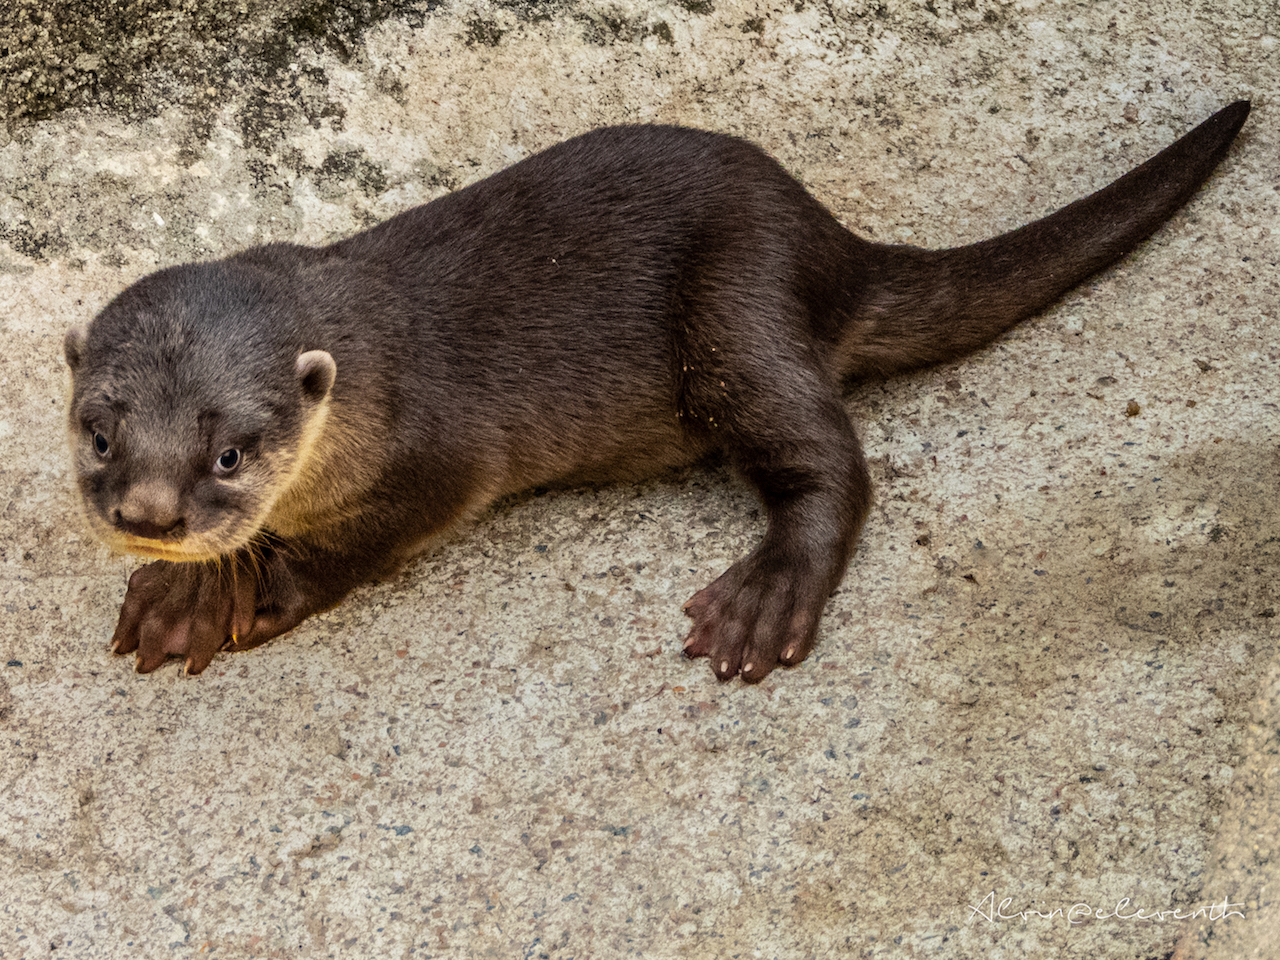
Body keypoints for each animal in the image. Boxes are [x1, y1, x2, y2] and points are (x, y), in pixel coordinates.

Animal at [67, 99, 1249, 675]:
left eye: (231, 451)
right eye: (100, 436)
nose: (150, 517)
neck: (363, 374)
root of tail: (830, 242)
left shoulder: (439, 453)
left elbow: (361, 537)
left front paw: (243, 589)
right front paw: (185, 590)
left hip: (735, 306)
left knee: (829, 459)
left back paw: (765, 598)